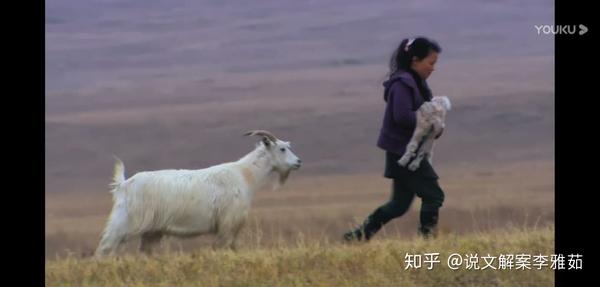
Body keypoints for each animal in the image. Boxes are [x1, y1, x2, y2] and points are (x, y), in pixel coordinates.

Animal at [95, 129, 300, 258]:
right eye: (282, 148)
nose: (298, 162)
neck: (244, 174)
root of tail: (123, 185)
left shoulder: (231, 228)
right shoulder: (227, 225)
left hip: (152, 231)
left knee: (144, 251)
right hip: (125, 222)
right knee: (105, 248)